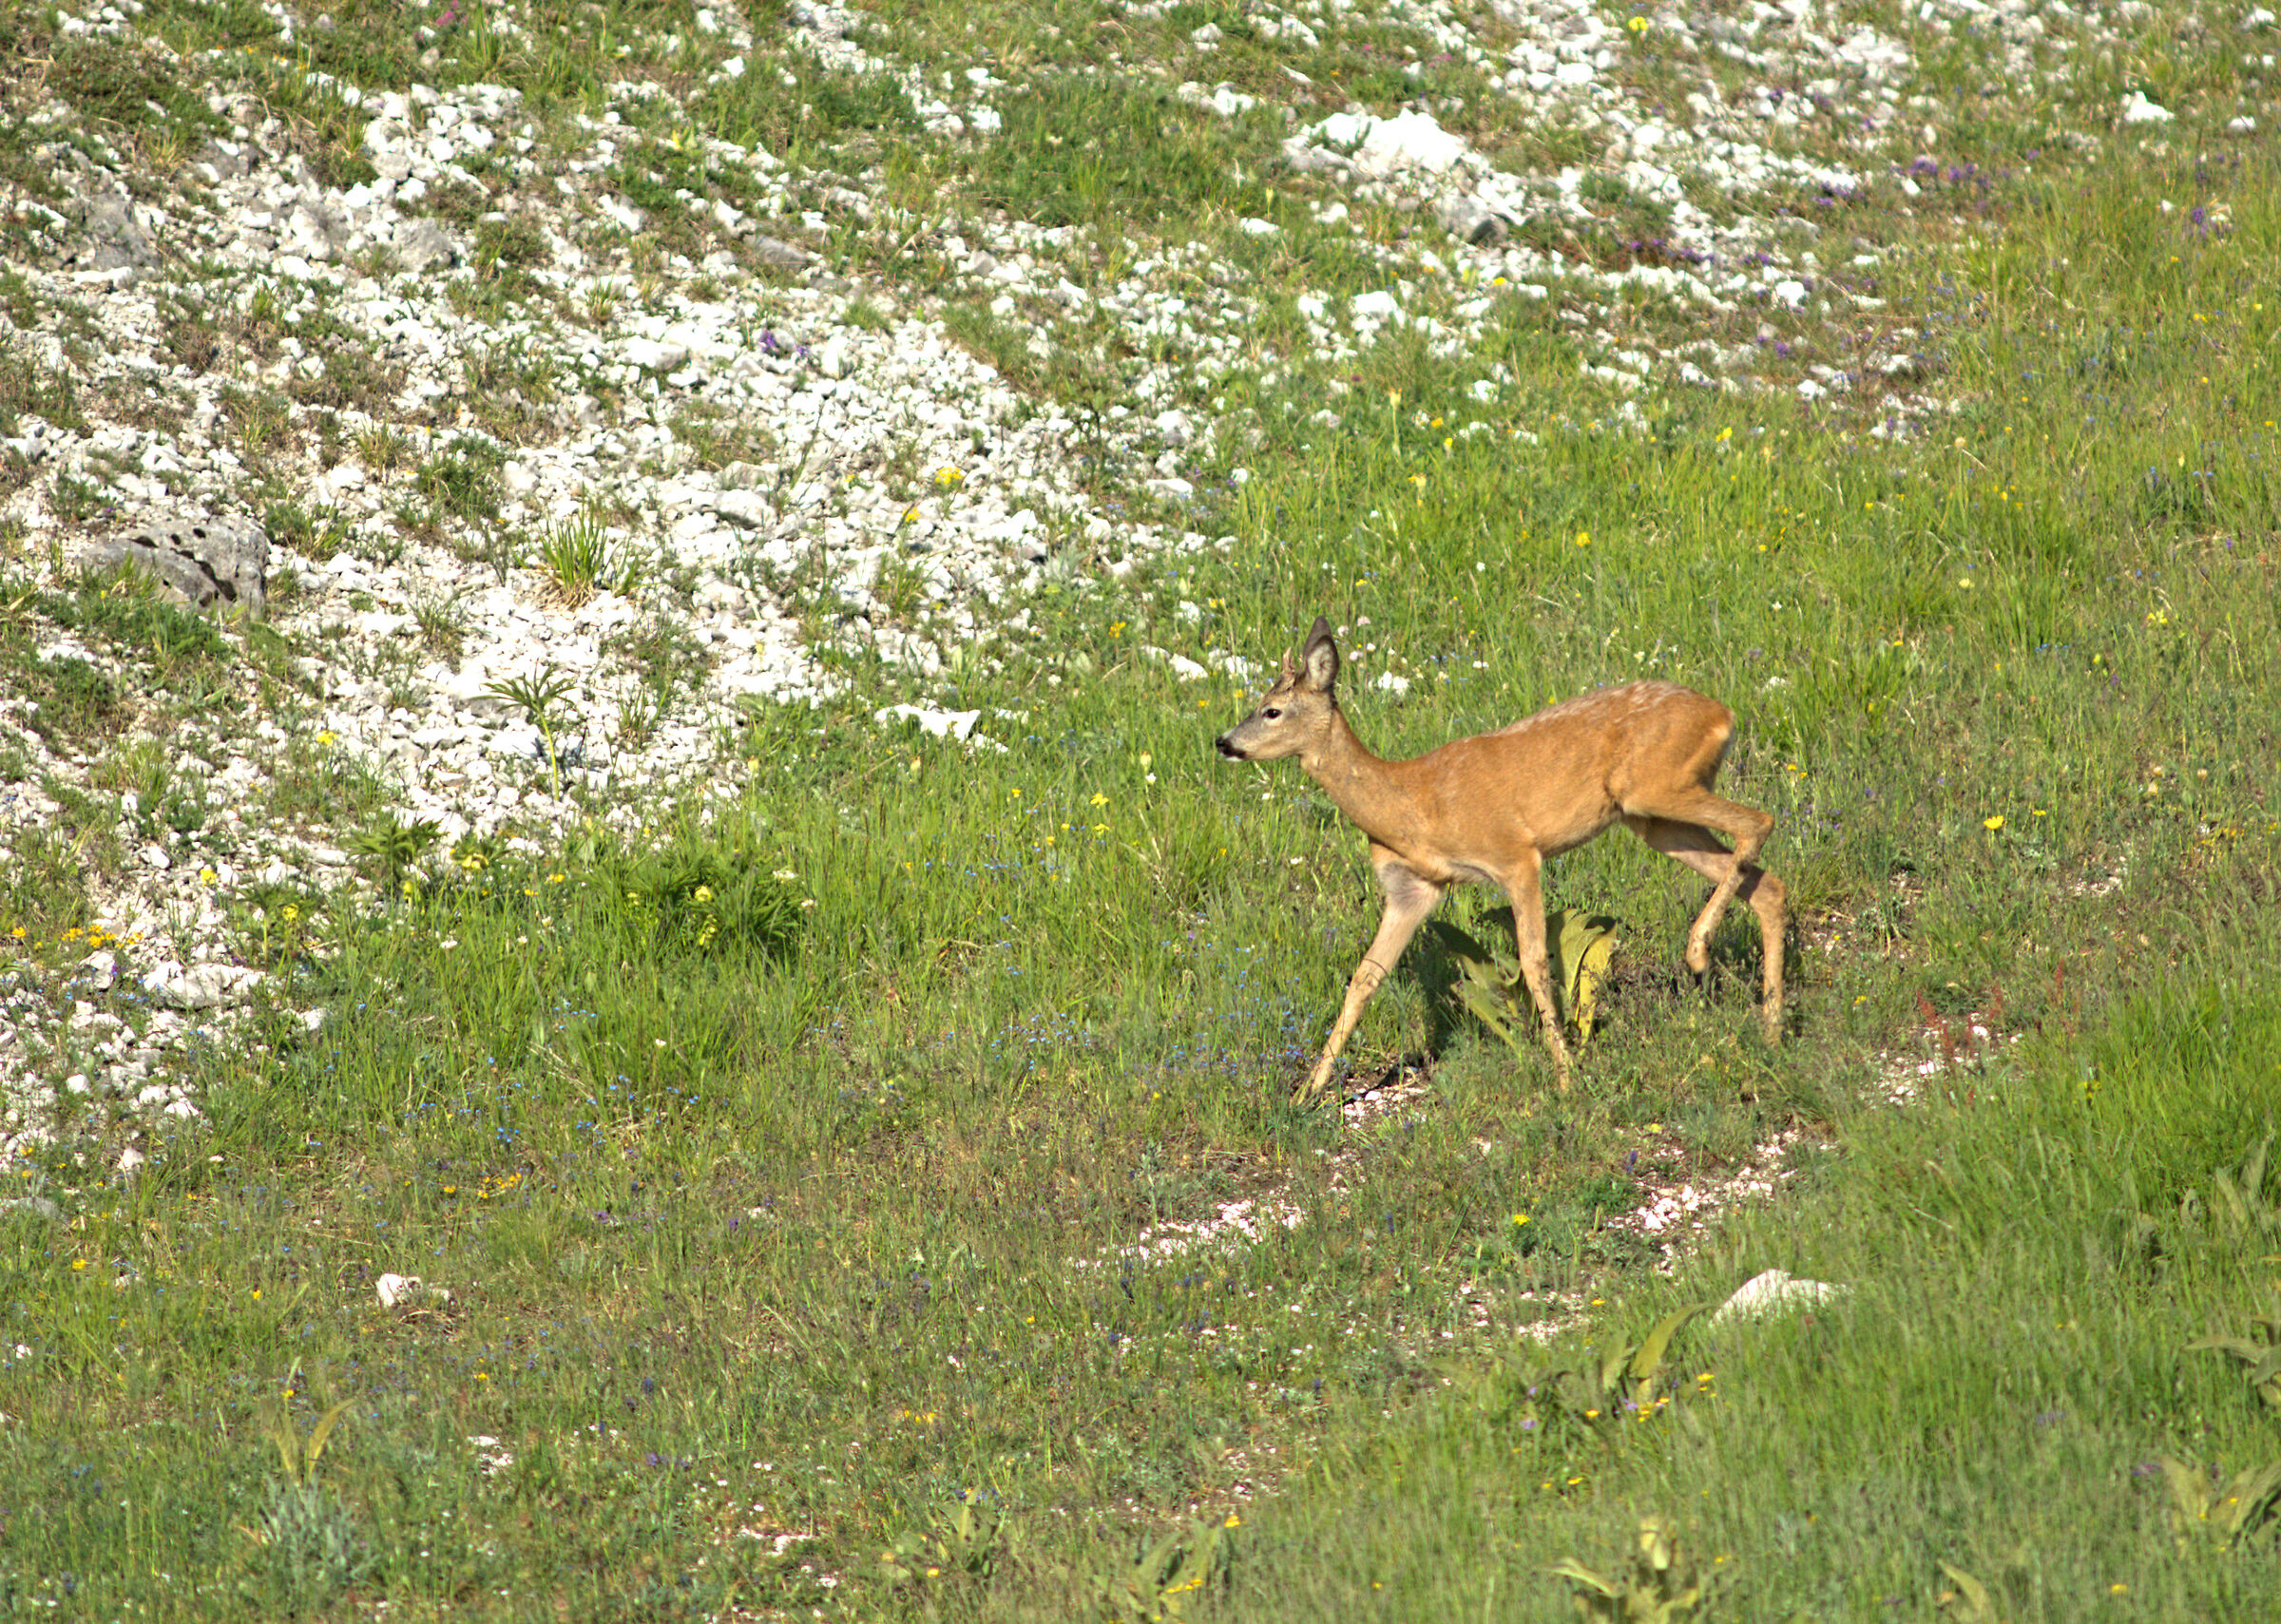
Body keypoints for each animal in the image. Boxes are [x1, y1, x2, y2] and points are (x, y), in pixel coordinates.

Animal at [1215, 617, 1785, 1104]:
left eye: (1271, 710)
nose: (1224, 741)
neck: (1412, 804)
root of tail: (1724, 714)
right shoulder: (1412, 889)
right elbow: (1365, 977)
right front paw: (1304, 1096)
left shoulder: (1514, 855)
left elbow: (1534, 962)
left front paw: (1566, 1078)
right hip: (1652, 819)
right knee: (1767, 883)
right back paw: (1772, 1028)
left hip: (1656, 785)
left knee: (1760, 821)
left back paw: (1699, 953)